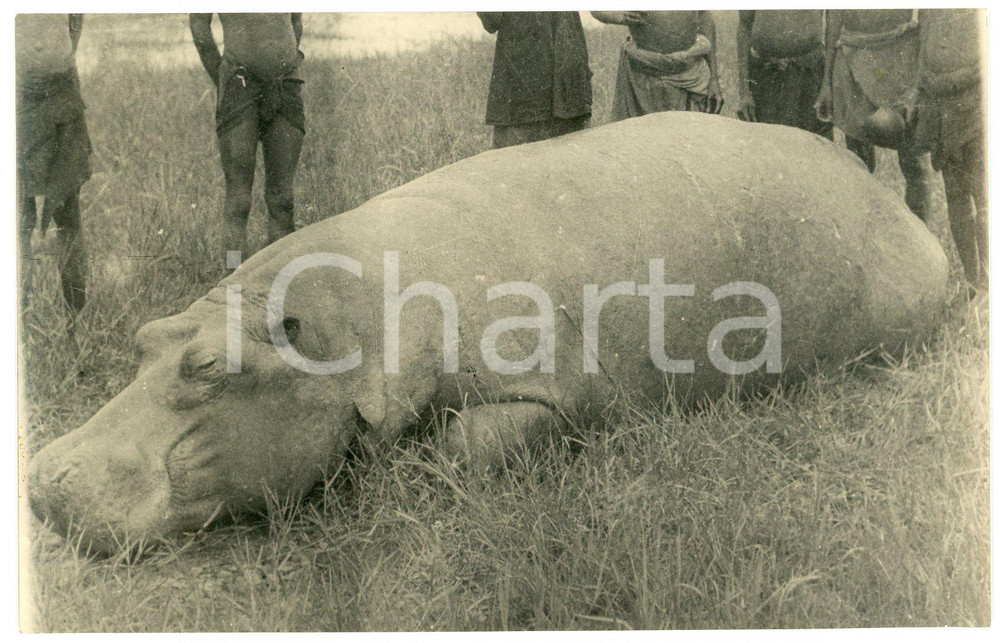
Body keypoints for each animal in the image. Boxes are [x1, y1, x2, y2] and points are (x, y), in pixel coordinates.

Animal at [28, 112, 948, 554]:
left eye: (210, 365)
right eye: (144, 336)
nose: (44, 477)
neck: (340, 328)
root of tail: (898, 209)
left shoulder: (550, 392)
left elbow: (468, 444)